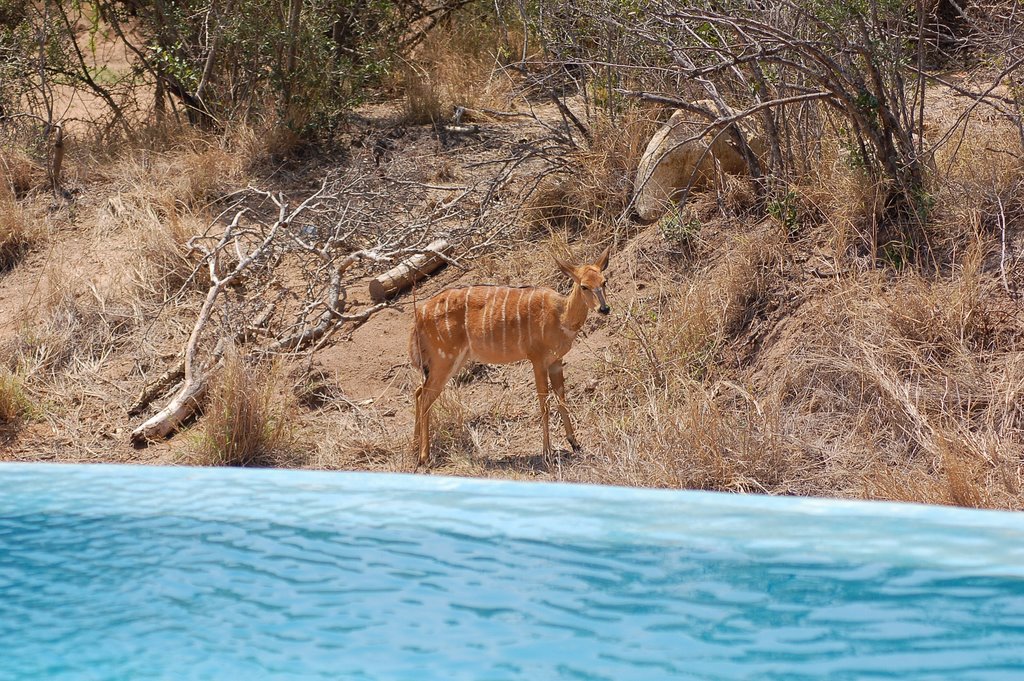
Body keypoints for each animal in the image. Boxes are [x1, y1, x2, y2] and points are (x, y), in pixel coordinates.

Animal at [409, 245, 606, 466]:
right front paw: (547, 452)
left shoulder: (556, 360)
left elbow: (561, 399)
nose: (604, 309)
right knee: (426, 397)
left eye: (604, 282)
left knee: (419, 391)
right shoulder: (537, 359)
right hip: (445, 359)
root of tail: (418, 315)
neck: (560, 315)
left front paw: (575, 444)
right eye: (584, 286)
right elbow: (544, 404)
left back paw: (415, 447)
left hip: (450, 361)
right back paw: (424, 456)